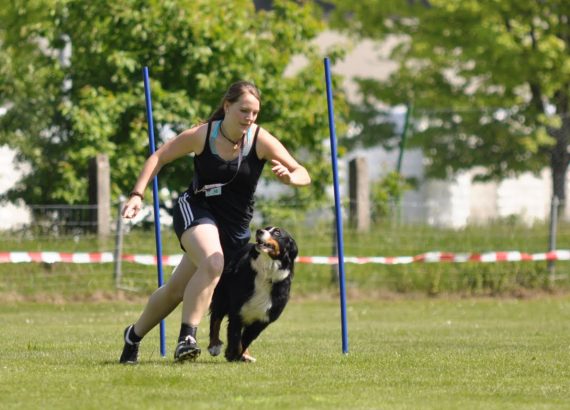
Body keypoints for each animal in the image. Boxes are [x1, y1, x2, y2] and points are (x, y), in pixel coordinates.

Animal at [207, 226, 298, 364]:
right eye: (266, 228)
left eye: (277, 232)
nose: (259, 231)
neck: (266, 275)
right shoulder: (237, 311)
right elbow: (235, 336)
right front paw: (233, 354)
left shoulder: (263, 319)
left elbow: (245, 339)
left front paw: (236, 355)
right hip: (222, 296)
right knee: (215, 319)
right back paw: (214, 345)